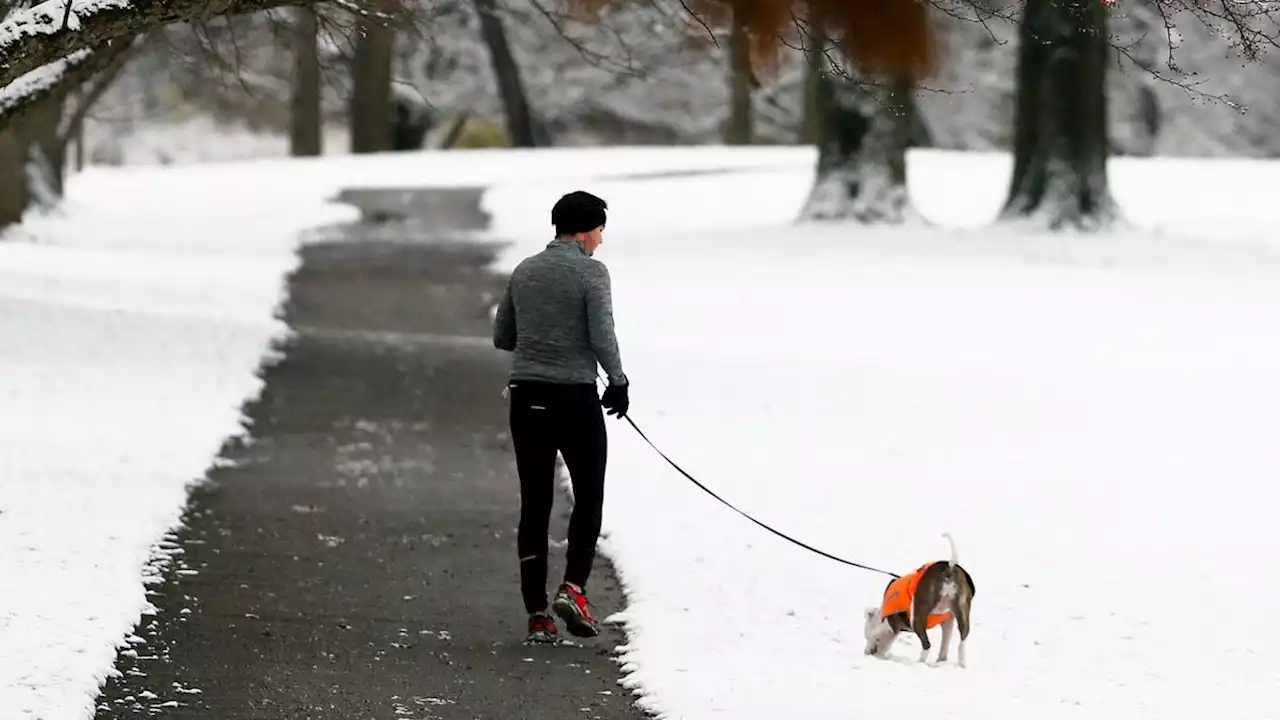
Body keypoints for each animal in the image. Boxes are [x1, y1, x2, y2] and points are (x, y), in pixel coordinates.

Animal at [865, 530, 972, 666]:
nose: (874, 652)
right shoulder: (947, 622)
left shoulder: (890, 623)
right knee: (960, 643)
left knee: (927, 645)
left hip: (918, 616)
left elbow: (874, 633)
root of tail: (949, 567)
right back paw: (957, 664)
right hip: (961, 614)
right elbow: (945, 644)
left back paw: (919, 663)